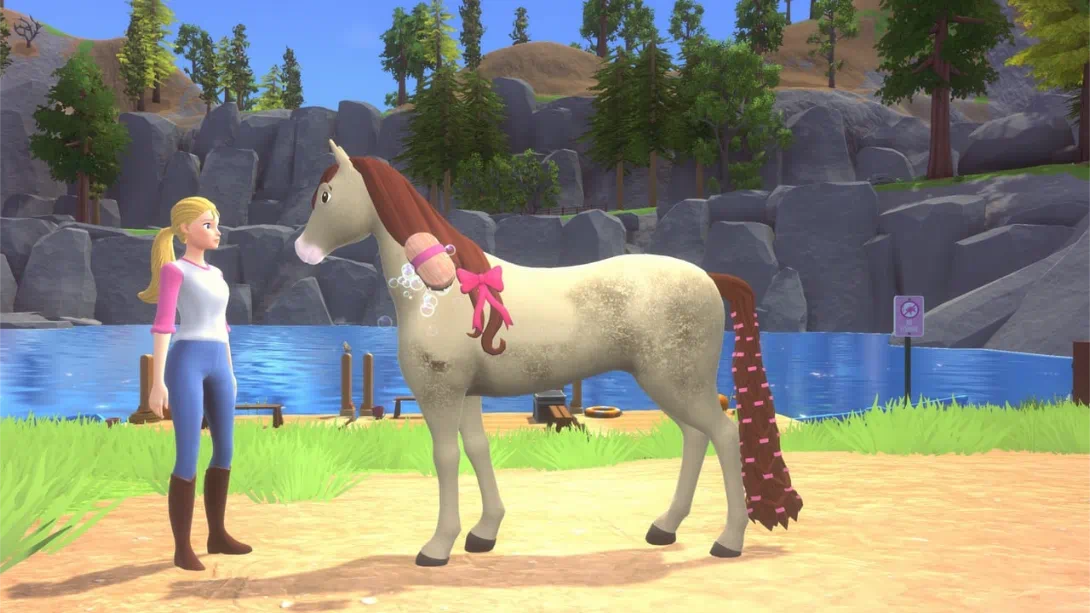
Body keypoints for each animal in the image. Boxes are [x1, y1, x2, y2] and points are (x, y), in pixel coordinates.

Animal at [295, 140, 802, 567]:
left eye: (326, 196)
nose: (302, 250)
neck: (440, 290)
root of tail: (709, 277)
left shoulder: (440, 391)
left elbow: (446, 457)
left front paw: (438, 547)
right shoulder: (467, 393)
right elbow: (477, 450)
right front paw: (484, 532)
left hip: (677, 382)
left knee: (724, 435)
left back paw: (727, 541)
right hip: (674, 384)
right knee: (696, 439)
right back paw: (665, 527)